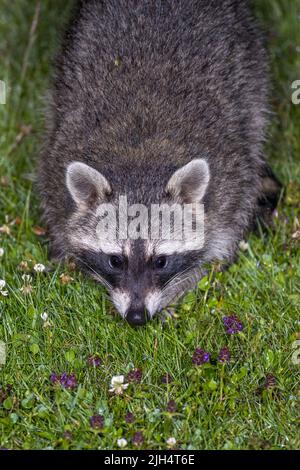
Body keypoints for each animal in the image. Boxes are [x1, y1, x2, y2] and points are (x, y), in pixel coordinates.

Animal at [38, 0, 282, 326]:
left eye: (161, 261)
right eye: (116, 260)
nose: (136, 317)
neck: (140, 159)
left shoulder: (231, 184)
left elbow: (219, 245)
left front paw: (179, 288)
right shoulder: (56, 162)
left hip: (250, 64)